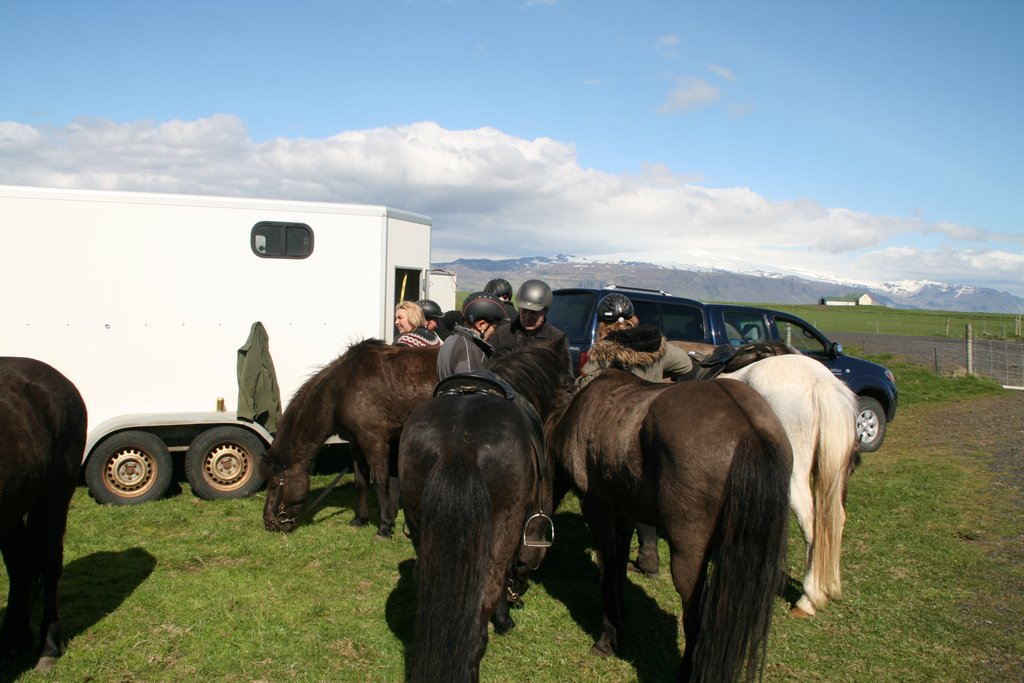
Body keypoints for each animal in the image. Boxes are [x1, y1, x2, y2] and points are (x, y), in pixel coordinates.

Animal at [261, 339, 439, 536]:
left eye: (275, 484)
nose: (269, 524)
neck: (340, 391)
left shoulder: (374, 441)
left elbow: (379, 481)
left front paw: (385, 526)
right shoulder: (355, 443)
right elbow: (360, 481)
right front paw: (360, 519)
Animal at [549, 369, 792, 683]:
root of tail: (748, 430)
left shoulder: (597, 508)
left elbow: (608, 569)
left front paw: (607, 639)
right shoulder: (625, 511)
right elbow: (618, 563)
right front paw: (621, 617)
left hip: (688, 558)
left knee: (696, 620)